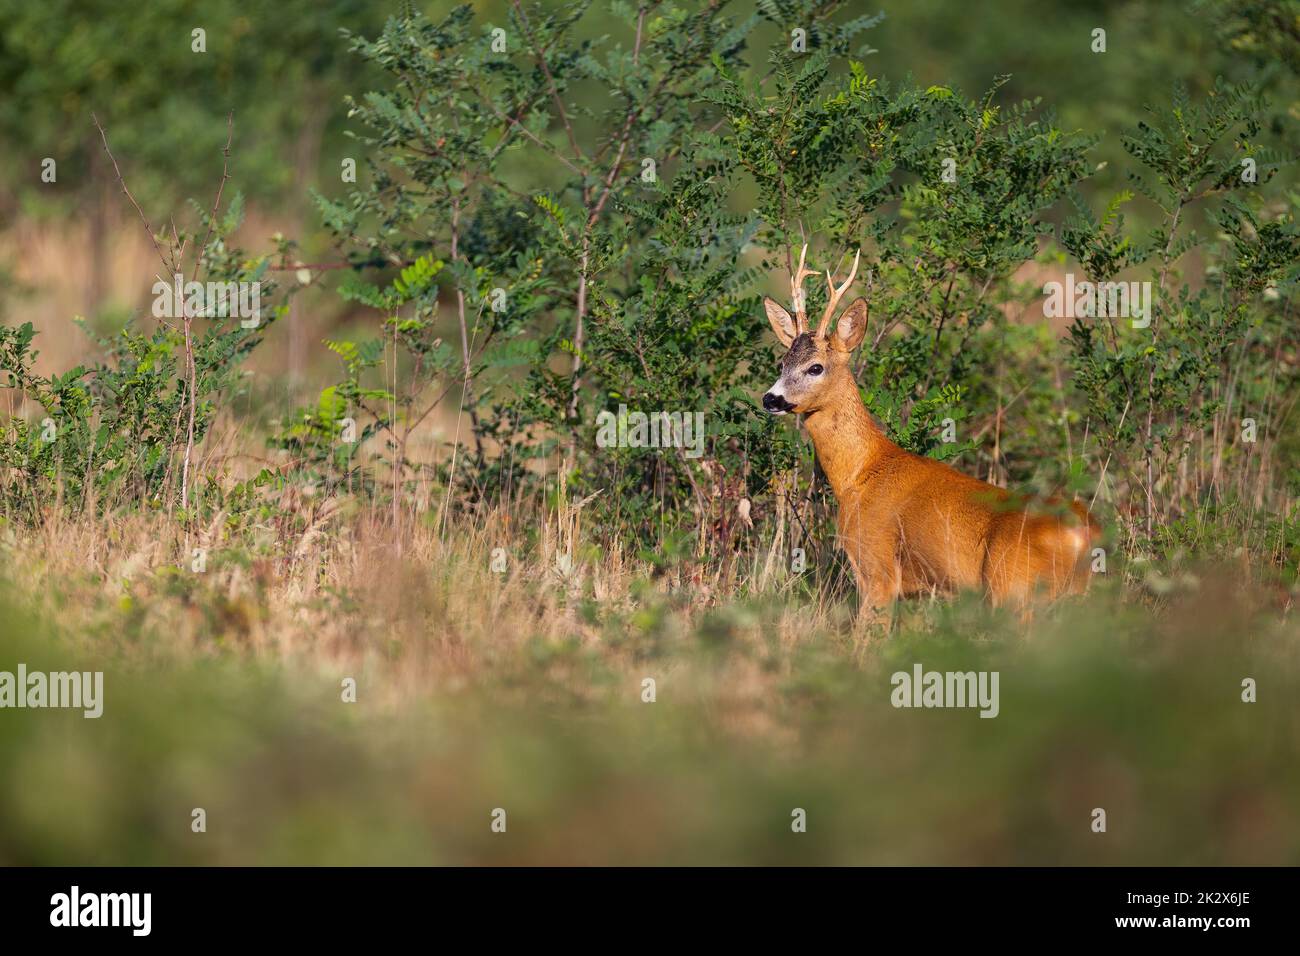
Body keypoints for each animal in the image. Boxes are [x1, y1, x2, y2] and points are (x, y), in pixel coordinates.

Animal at [760, 244, 1099, 619]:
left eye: (815, 367)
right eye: (782, 363)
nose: (770, 398)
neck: (859, 473)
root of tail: (1082, 533)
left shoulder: (877, 568)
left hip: (1012, 590)